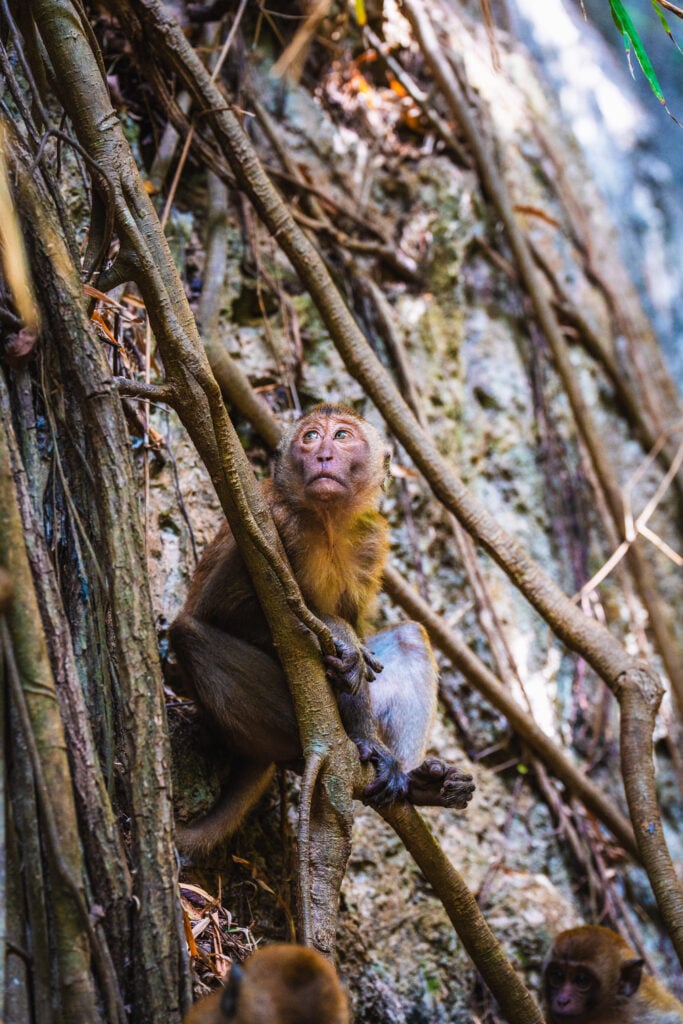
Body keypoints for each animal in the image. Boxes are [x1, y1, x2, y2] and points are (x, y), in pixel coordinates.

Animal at [169, 403, 475, 853]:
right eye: (310, 437)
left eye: (342, 436)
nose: (323, 455)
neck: (326, 522)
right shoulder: (267, 521)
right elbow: (222, 612)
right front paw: (338, 633)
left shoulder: (371, 539)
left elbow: (363, 626)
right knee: (188, 634)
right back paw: (326, 743)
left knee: (407, 638)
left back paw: (408, 775)